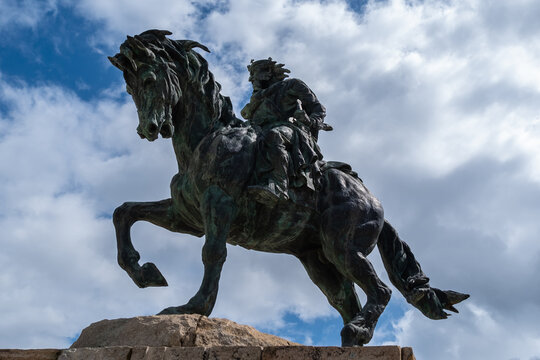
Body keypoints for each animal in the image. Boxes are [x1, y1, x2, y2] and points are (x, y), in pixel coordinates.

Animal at [107, 28, 466, 346]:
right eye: (129, 88)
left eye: (149, 80)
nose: (149, 129)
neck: (204, 140)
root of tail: (373, 200)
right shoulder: (185, 216)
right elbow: (124, 212)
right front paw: (145, 272)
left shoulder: (219, 203)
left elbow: (213, 253)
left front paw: (193, 307)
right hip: (317, 260)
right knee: (345, 299)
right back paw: (350, 338)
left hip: (343, 247)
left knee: (380, 290)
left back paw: (358, 330)